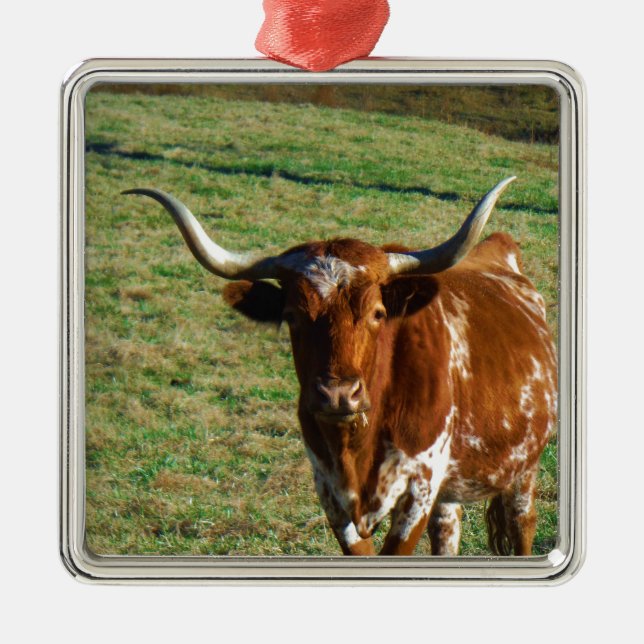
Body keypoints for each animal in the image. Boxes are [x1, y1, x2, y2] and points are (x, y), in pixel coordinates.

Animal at [124, 176, 557, 556]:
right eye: (292, 316)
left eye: (378, 313)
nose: (337, 395)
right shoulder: (330, 493)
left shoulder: (419, 489)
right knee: (447, 532)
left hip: (524, 469)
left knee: (523, 523)